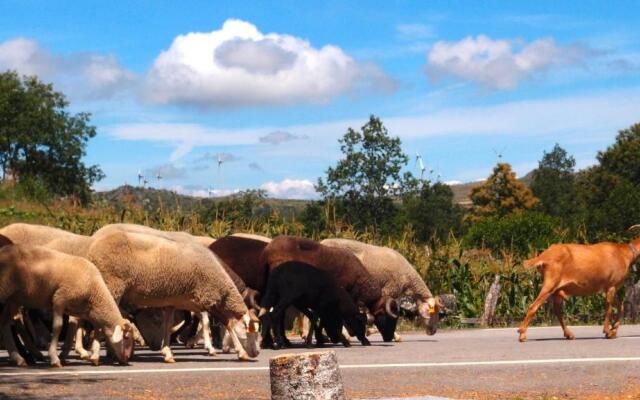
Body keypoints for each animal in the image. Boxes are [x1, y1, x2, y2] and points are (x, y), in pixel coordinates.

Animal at [0, 241, 132, 368]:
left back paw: (19, 358)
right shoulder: (60, 298)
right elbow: (58, 327)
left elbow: (96, 329)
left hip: (13, 300)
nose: (126, 360)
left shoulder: (84, 310)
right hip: (5, 292)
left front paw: (94, 356)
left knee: (5, 324)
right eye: (125, 337)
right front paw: (55, 359)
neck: (94, 289)